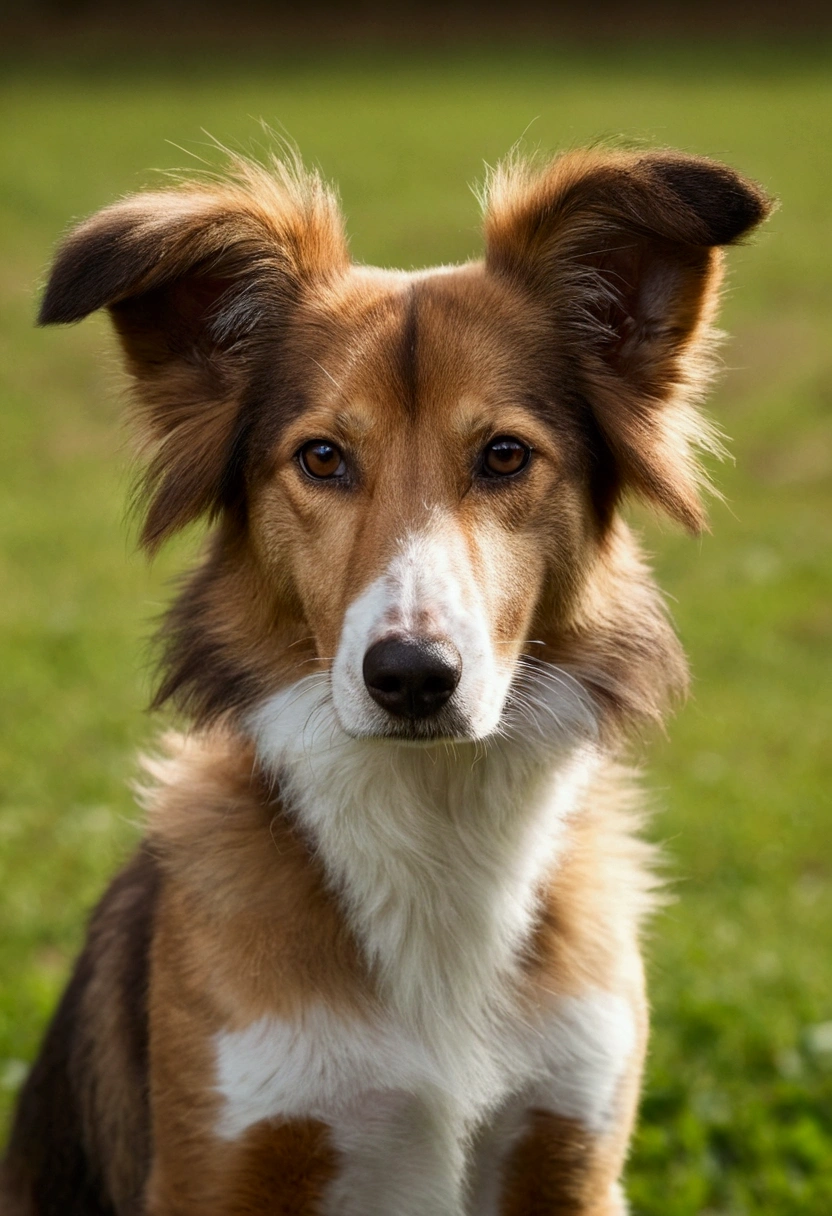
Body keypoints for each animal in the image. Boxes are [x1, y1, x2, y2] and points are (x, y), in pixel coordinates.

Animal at [0, 147, 768, 1211]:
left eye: (504, 454)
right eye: (322, 457)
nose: (412, 677)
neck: (433, 823)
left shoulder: (569, 1153)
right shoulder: (225, 1161)